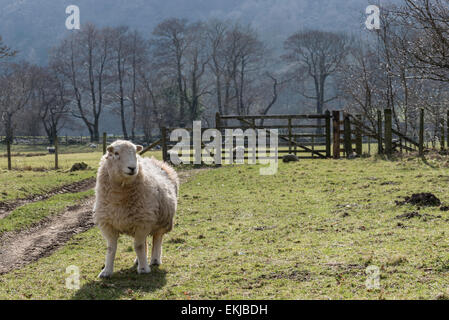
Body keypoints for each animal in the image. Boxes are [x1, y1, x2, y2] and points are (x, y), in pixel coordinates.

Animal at [93, 140, 178, 278]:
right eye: (116, 153)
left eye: (135, 153)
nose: (133, 168)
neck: (119, 198)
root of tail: (153, 160)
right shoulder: (108, 224)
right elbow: (111, 248)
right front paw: (106, 271)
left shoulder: (142, 222)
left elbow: (138, 246)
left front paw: (143, 269)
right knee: (144, 242)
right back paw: (139, 260)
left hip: (161, 219)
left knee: (157, 238)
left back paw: (155, 260)